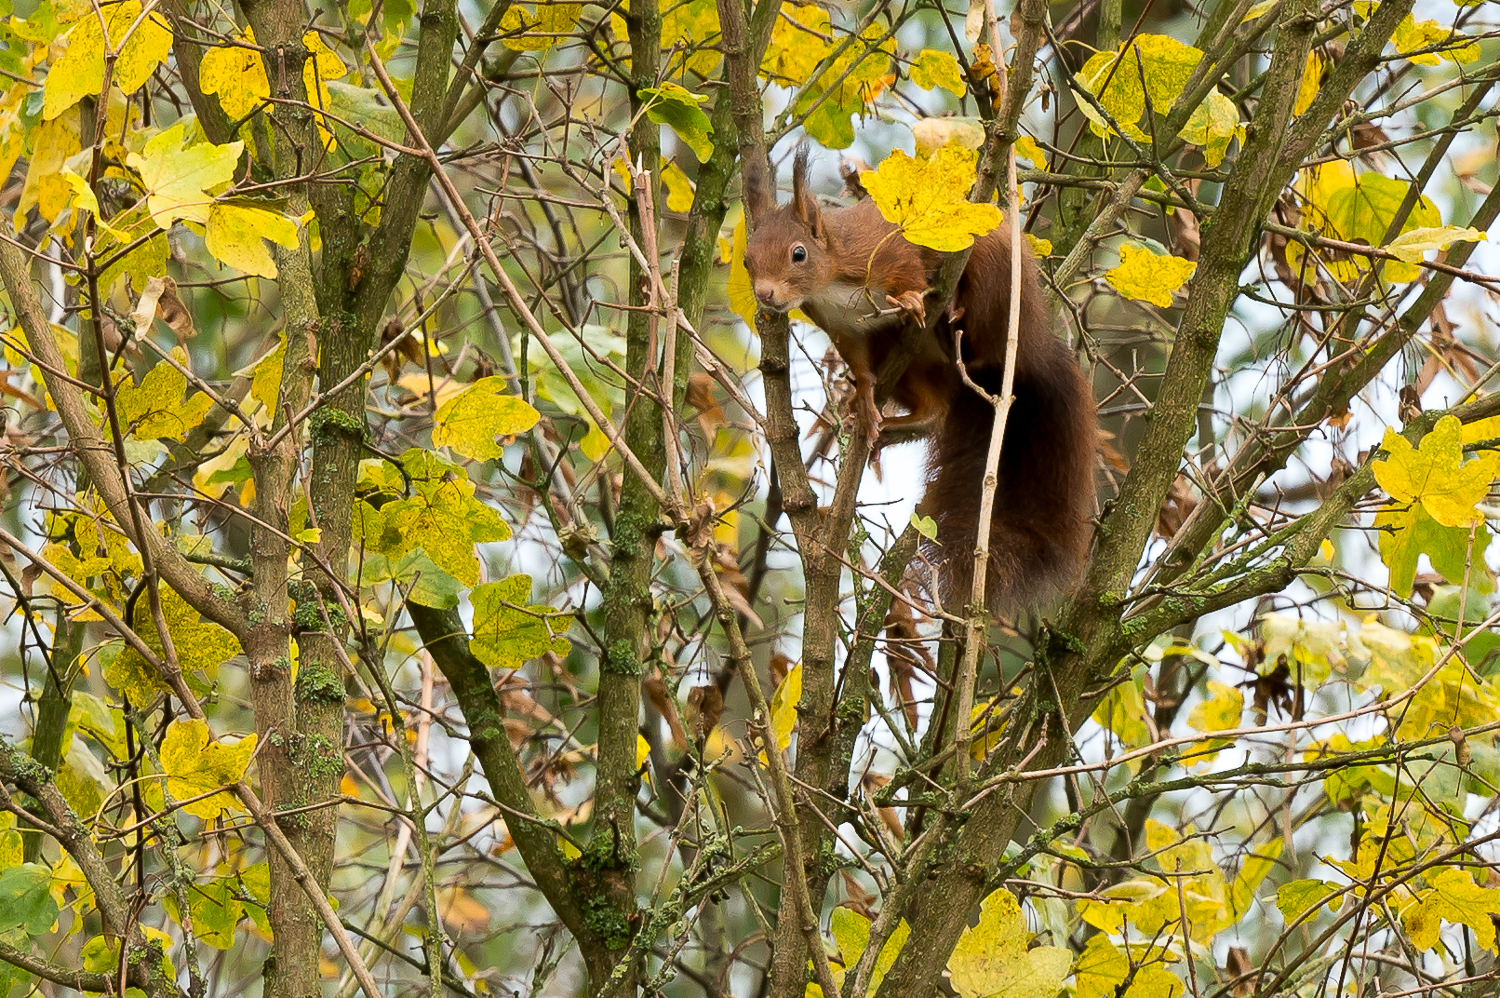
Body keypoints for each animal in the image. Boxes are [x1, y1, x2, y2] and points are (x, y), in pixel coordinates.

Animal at [744, 147, 1098, 612]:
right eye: (747, 260)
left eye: (798, 254)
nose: (765, 295)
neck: (832, 277)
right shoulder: (842, 327)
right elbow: (859, 364)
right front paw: (866, 399)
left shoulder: (888, 248)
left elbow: (909, 267)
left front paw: (913, 297)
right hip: (910, 364)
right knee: (933, 412)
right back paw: (880, 423)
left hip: (994, 273)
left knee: (978, 321)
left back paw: (952, 312)